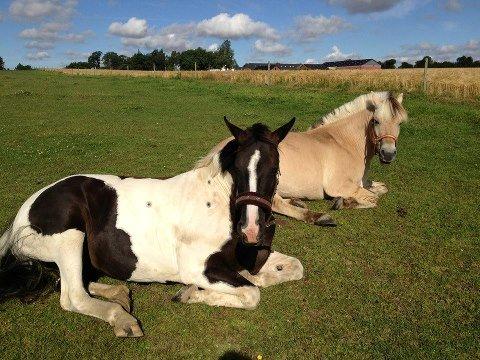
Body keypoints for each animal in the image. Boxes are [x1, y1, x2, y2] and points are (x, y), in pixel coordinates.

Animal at [0, 118, 304, 338]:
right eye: (238, 168)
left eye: (274, 167)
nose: (251, 230)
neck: (217, 202)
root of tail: (19, 219)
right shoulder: (196, 268)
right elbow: (251, 294)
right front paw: (193, 294)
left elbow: (293, 268)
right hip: (69, 237)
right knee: (72, 295)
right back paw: (122, 318)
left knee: (68, 282)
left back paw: (119, 295)